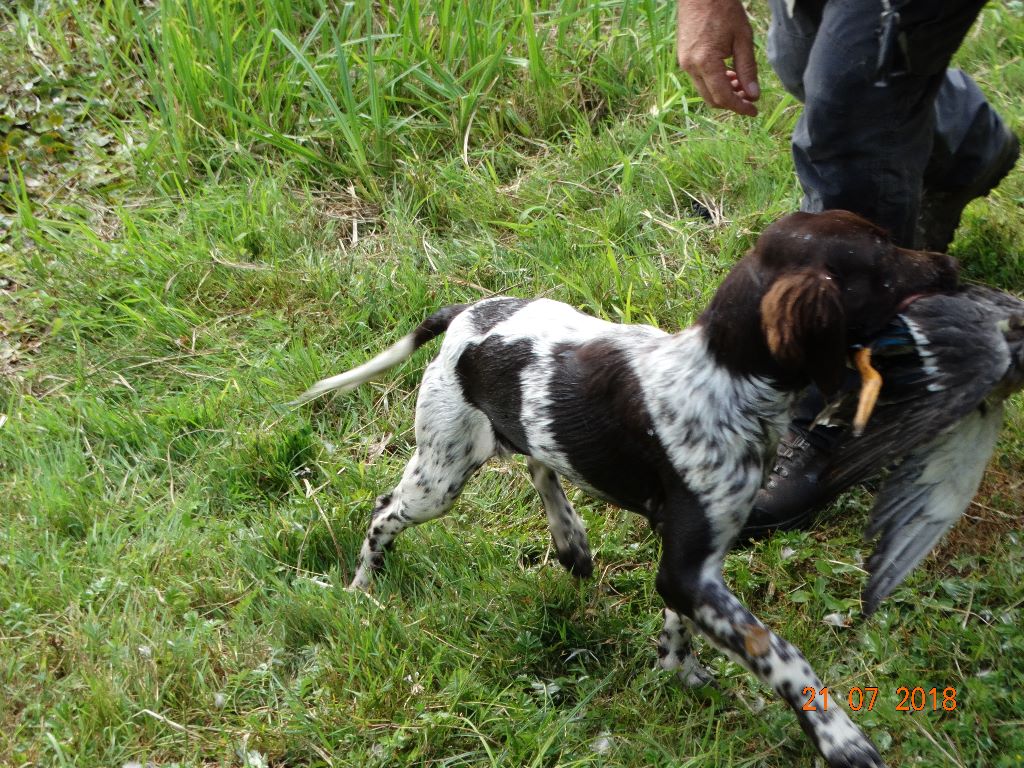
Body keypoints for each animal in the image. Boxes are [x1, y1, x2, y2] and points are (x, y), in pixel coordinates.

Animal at [292, 211, 954, 768]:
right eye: (883, 258)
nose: (947, 265)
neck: (728, 380)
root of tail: (465, 314)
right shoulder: (687, 566)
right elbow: (781, 656)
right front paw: (841, 739)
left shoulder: (694, 560)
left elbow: (680, 626)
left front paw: (678, 670)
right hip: (442, 472)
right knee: (385, 511)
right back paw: (363, 585)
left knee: (540, 464)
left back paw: (570, 541)